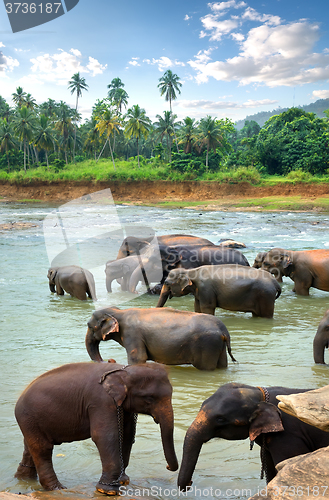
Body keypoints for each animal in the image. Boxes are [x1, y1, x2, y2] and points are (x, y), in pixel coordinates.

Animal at [13, 362, 177, 494]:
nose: (168, 467)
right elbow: (105, 436)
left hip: (31, 421)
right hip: (29, 416)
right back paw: (58, 489)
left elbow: (127, 435)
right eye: (149, 399)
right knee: (43, 448)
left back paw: (23, 480)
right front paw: (108, 491)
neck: (122, 371)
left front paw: (123, 481)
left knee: (30, 446)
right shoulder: (101, 401)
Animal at [84, 304, 236, 372]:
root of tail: (224, 331)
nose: (109, 360)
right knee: (222, 365)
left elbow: (138, 358)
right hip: (218, 346)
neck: (118, 312)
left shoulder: (132, 334)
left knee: (205, 368)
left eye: (89, 326)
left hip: (207, 345)